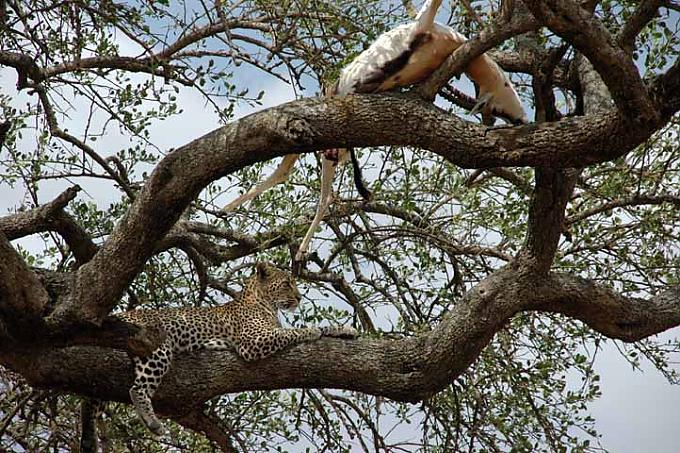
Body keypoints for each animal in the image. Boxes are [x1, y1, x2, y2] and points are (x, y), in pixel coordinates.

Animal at [115, 262, 358, 434]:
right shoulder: (254, 340)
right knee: (136, 389)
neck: (265, 303)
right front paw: (312, 331)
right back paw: (153, 423)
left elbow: (320, 328)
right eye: (286, 284)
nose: (299, 298)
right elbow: (293, 331)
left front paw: (345, 329)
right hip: (157, 349)